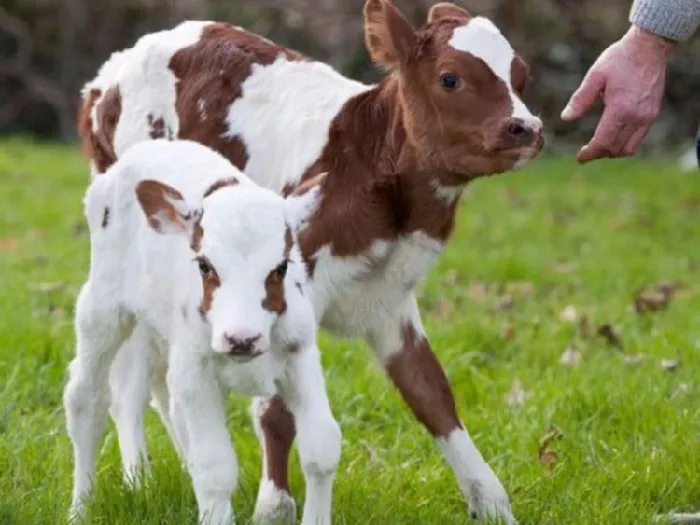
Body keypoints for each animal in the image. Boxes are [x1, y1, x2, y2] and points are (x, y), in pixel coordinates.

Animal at [61, 139, 340, 524]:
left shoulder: (301, 356)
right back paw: (81, 509)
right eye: (205, 265)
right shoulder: (196, 373)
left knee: (132, 394)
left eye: (281, 267)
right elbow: (215, 468)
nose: (241, 339)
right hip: (103, 307)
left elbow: (322, 448)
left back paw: (139, 481)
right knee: (86, 399)